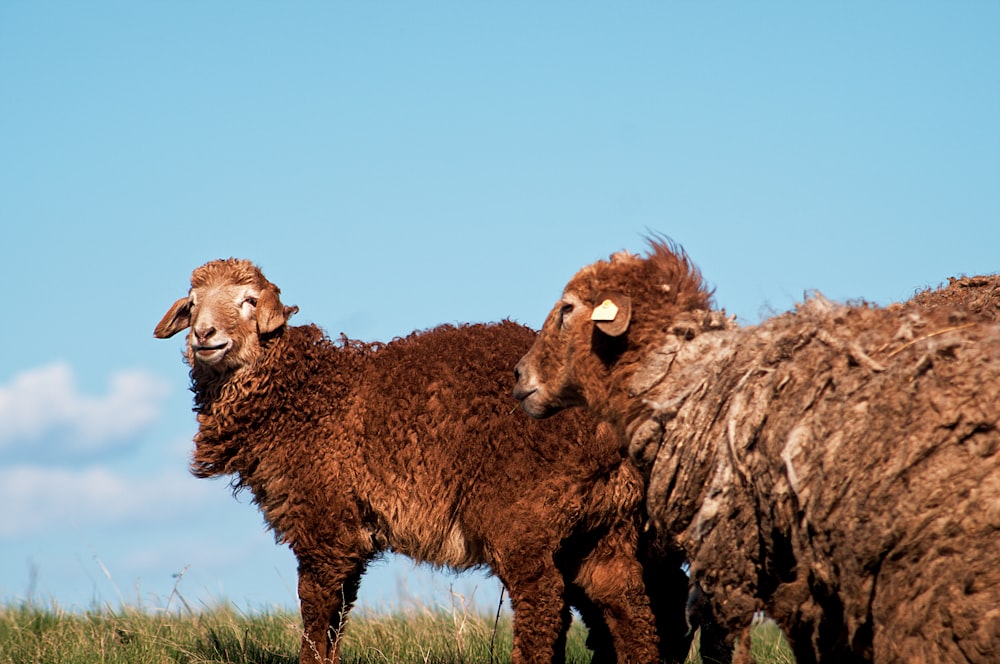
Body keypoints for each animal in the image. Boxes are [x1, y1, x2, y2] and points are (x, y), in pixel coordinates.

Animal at [154, 260, 696, 664]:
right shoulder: (351, 533)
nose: (205, 334)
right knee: (628, 604)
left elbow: (316, 612)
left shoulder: (324, 524)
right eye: (193, 303)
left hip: (525, 515)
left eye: (249, 301)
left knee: (545, 603)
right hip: (605, 524)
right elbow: (336, 618)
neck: (305, 397)